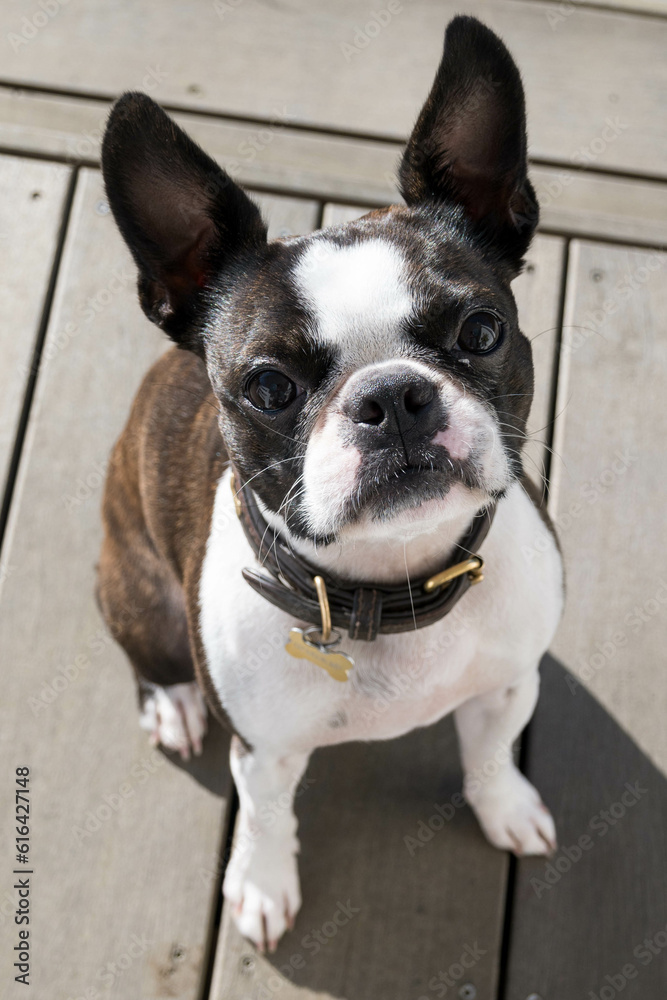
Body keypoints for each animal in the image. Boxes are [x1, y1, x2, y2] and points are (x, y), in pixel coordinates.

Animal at [98, 15, 564, 952]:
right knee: (152, 656)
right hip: (131, 589)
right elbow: (266, 818)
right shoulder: (264, 749)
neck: (393, 584)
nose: (392, 397)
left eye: (481, 330)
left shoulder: (507, 684)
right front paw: (260, 887)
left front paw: (505, 807)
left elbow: (490, 754)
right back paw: (171, 703)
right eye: (269, 387)